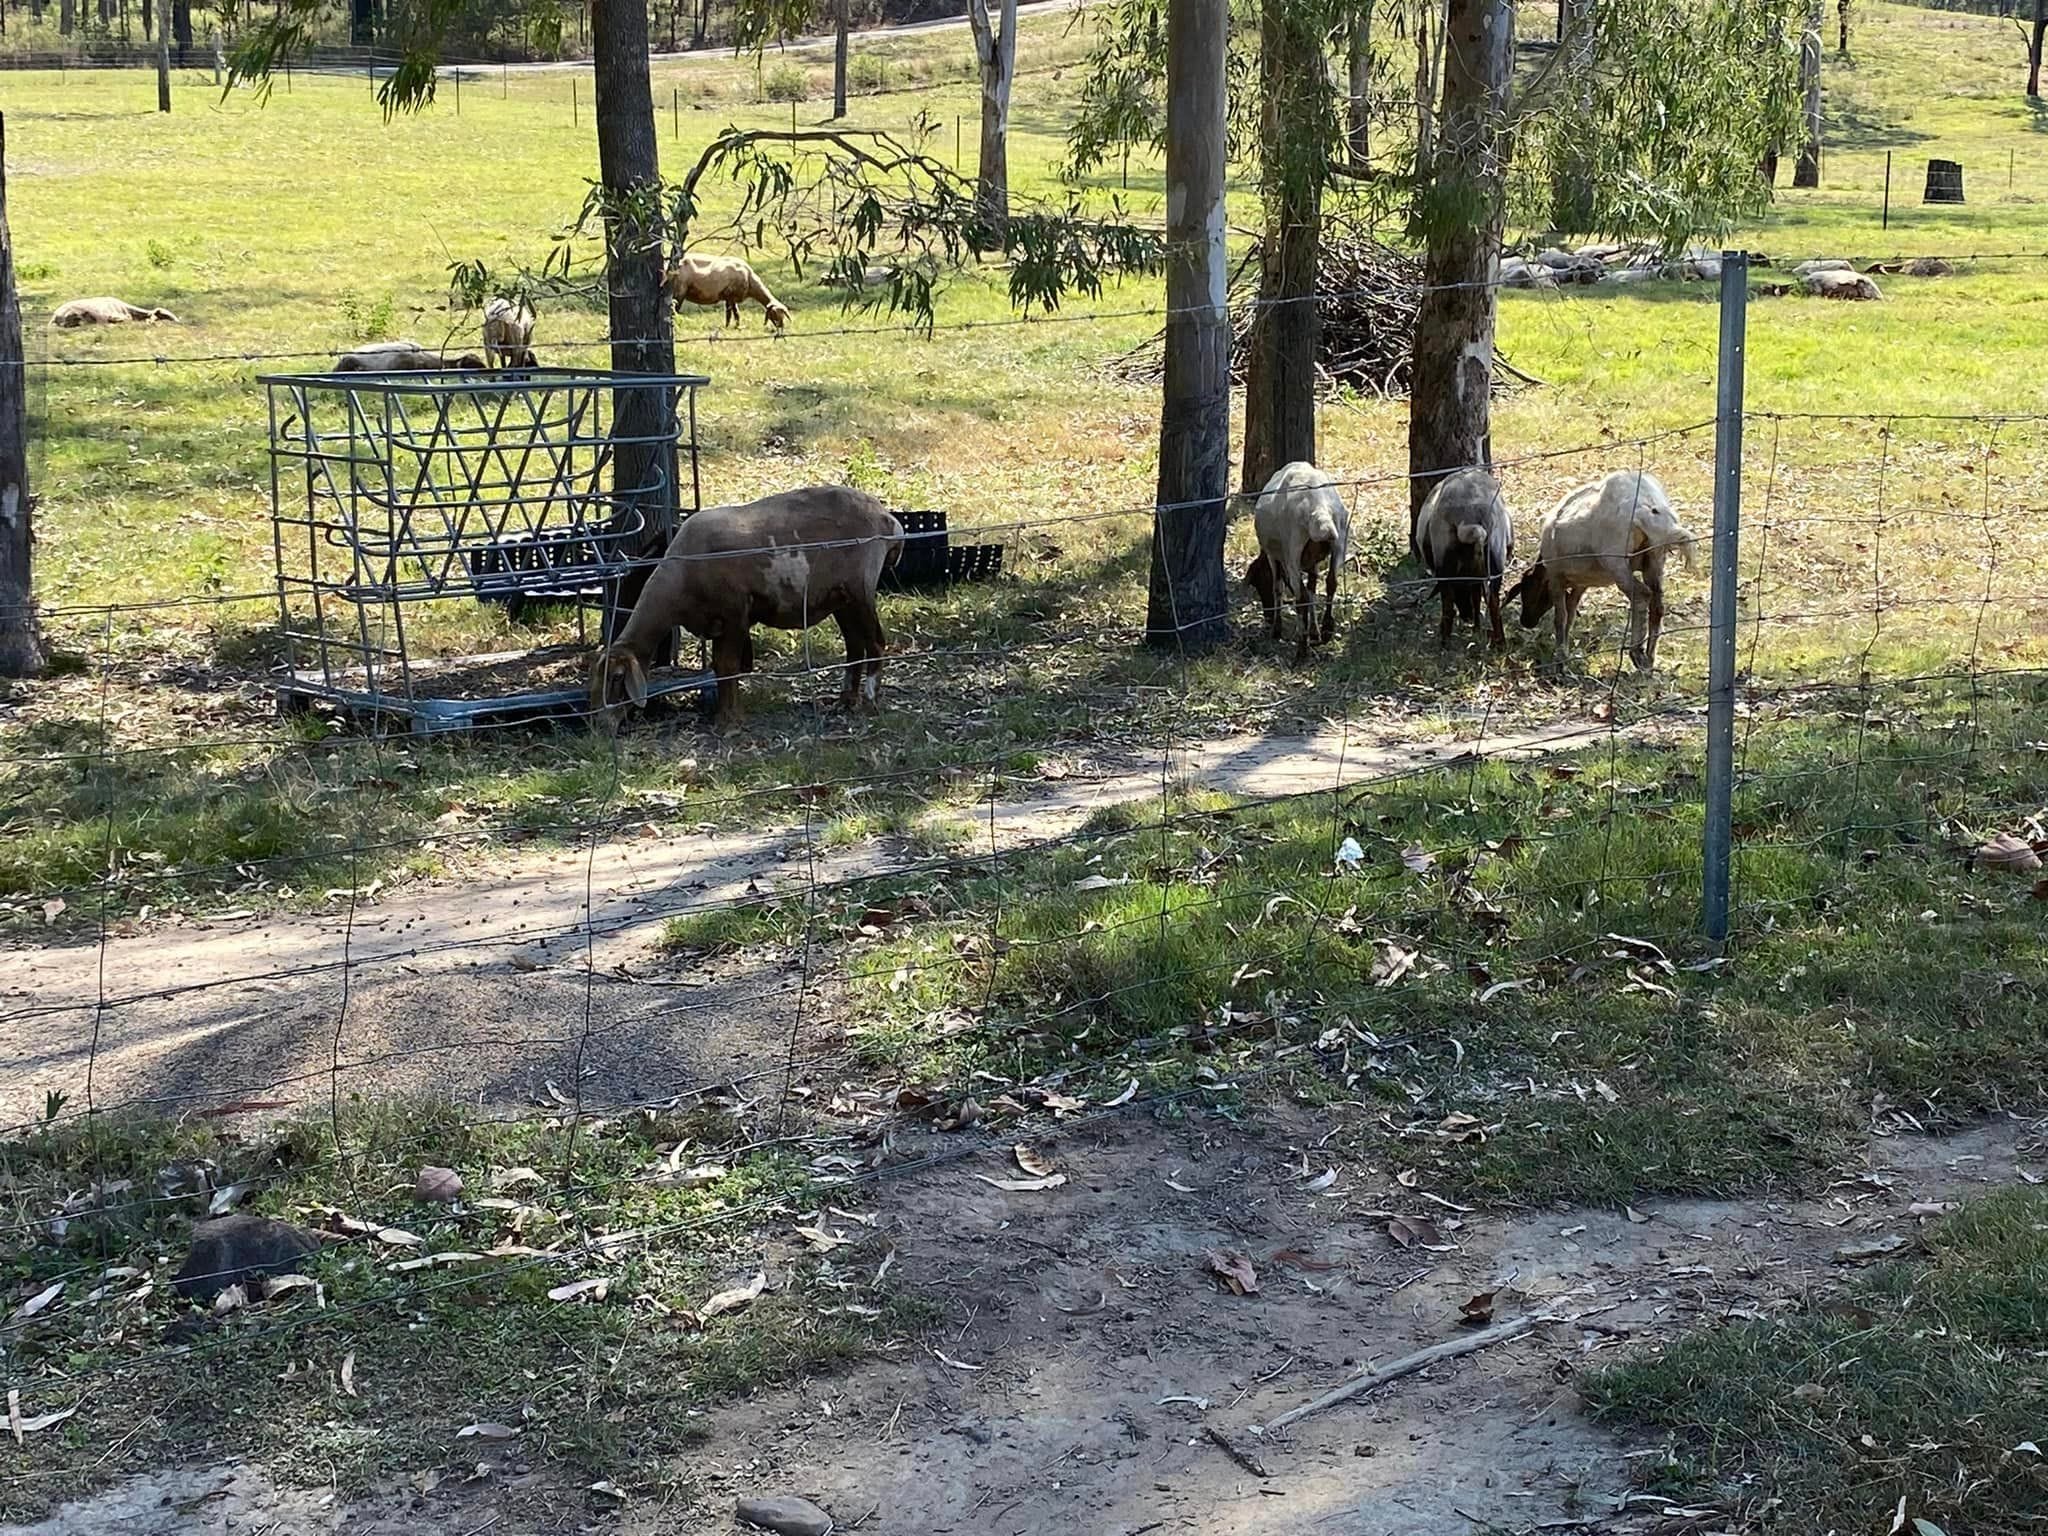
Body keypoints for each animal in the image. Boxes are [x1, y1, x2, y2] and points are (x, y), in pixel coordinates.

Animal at [589, 493, 901, 733]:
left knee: (875, 642)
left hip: (860, 589)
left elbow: (728, 666)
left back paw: (869, 701)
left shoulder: (735, 613)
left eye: (616, 678)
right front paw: (724, 715)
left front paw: (729, 721)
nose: (599, 726)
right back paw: (846, 700)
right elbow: (720, 667)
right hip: (841, 598)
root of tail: (887, 519)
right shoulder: (717, 622)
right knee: (854, 645)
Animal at [1236, 462, 1351, 667]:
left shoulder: (1275, 558)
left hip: (1293, 549)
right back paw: (1326, 629)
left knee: (1301, 597)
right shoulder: (1313, 562)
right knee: (1331, 583)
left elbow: (1278, 588)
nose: (1267, 616)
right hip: (1340, 540)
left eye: (1258, 583)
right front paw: (1314, 631)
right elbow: (1313, 589)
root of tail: (1319, 507)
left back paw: (1301, 650)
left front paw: (1277, 629)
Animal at [1417, 468, 1515, 651]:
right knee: (1493, 601)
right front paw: (1477, 627)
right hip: (1495, 553)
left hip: (1444, 556)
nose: (1467, 616)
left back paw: (1445, 642)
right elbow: (1477, 597)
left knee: (1448, 605)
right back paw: (1500, 642)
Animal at [1507, 466, 1695, 671]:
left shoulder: (1555, 577)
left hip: (1616, 560)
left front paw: (1560, 655)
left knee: (1641, 595)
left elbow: (1561, 617)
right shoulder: (1581, 583)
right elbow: (1571, 614)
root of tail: (1649, 508)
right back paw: (1650, 658)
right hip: (1655, 558)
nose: (1526, 621)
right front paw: (1565, 648)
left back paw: (1637, 654)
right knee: (1658, 604)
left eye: (1526, 590)